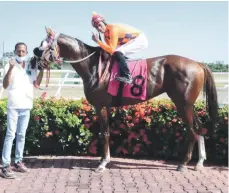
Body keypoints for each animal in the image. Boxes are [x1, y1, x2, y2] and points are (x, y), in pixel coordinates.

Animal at [31, 27, 218, 173]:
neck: (95, 68)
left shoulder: (101, 105)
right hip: (188, 104)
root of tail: (197, 64)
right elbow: (106, 132)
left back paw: (183, 164)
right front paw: (105, 160)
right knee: (199, 127)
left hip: (183, 104)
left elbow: (104, 133)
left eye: (44, 45)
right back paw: (199, 162)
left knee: (192, 131)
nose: (35, 58)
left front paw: (102, 163)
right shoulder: (105, 106)